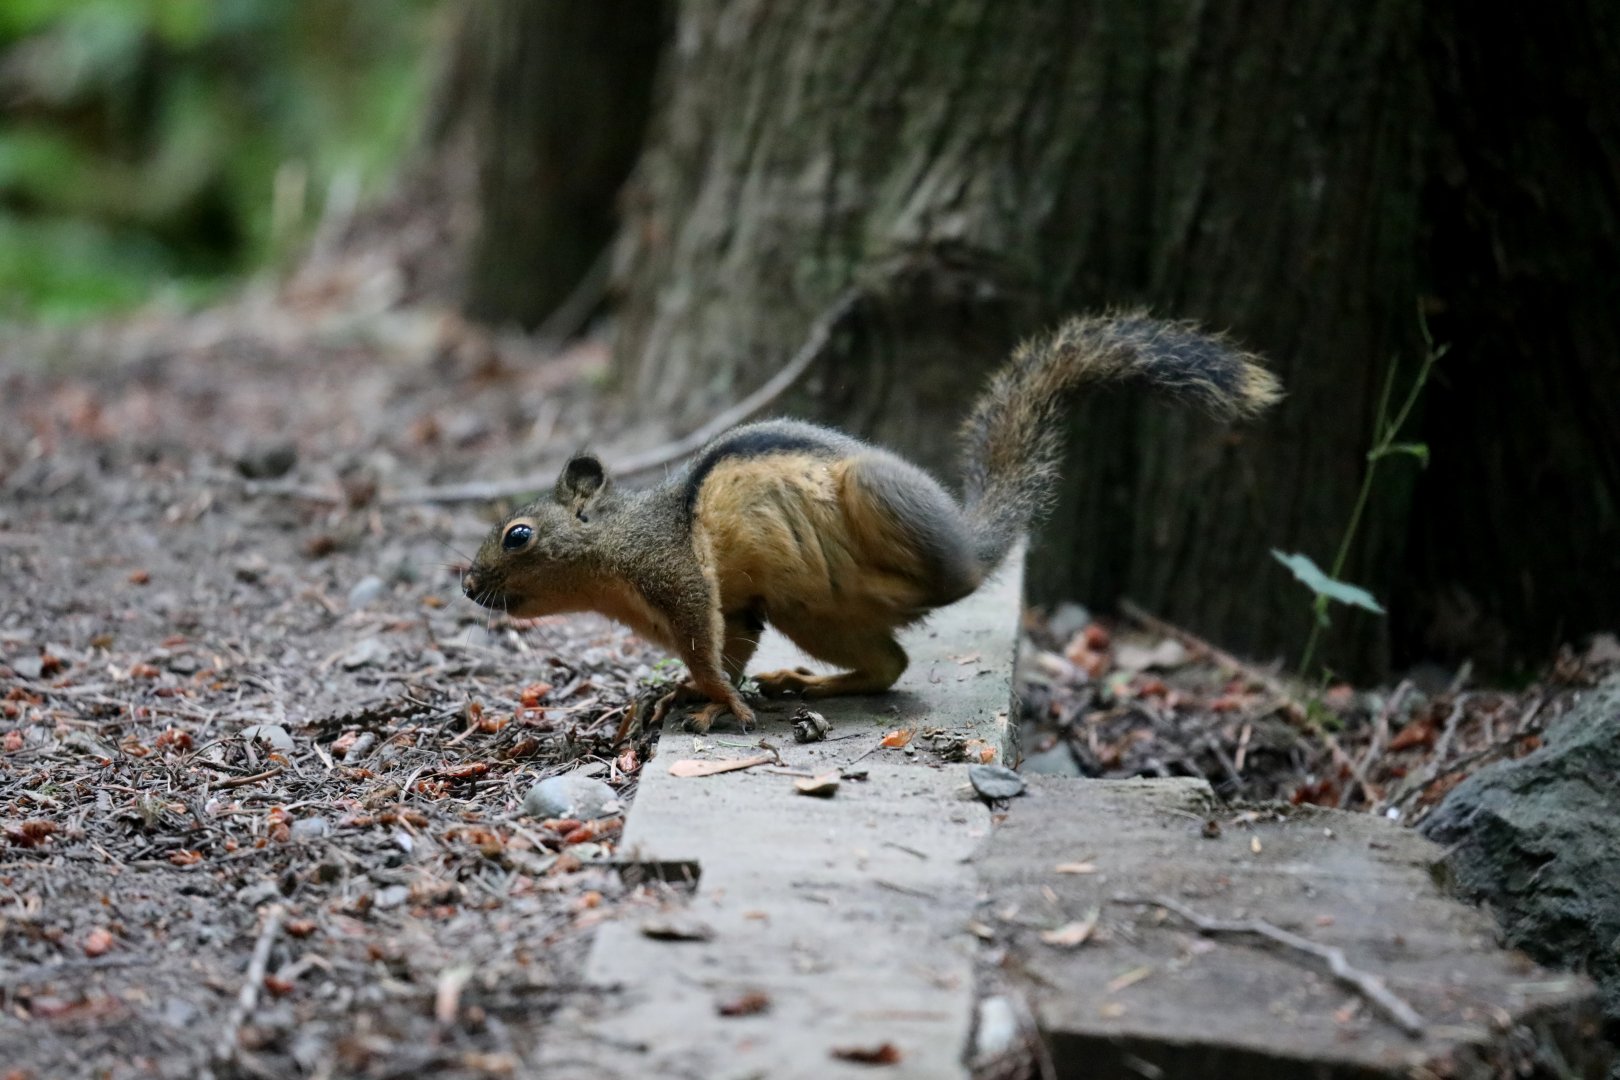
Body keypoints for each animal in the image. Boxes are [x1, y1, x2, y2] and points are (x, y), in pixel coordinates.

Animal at [461, 312, 1281, 734]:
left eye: (518, 535)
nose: (468, 584)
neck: (614, 551)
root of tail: (972, 548)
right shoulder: (742, 609)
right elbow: (730, 644)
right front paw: (687, 694)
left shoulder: (677, 574)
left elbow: (707, 643)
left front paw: (717, 702)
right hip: (814, 611)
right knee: (889, 663)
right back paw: (805, 682)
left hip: (874, 506)